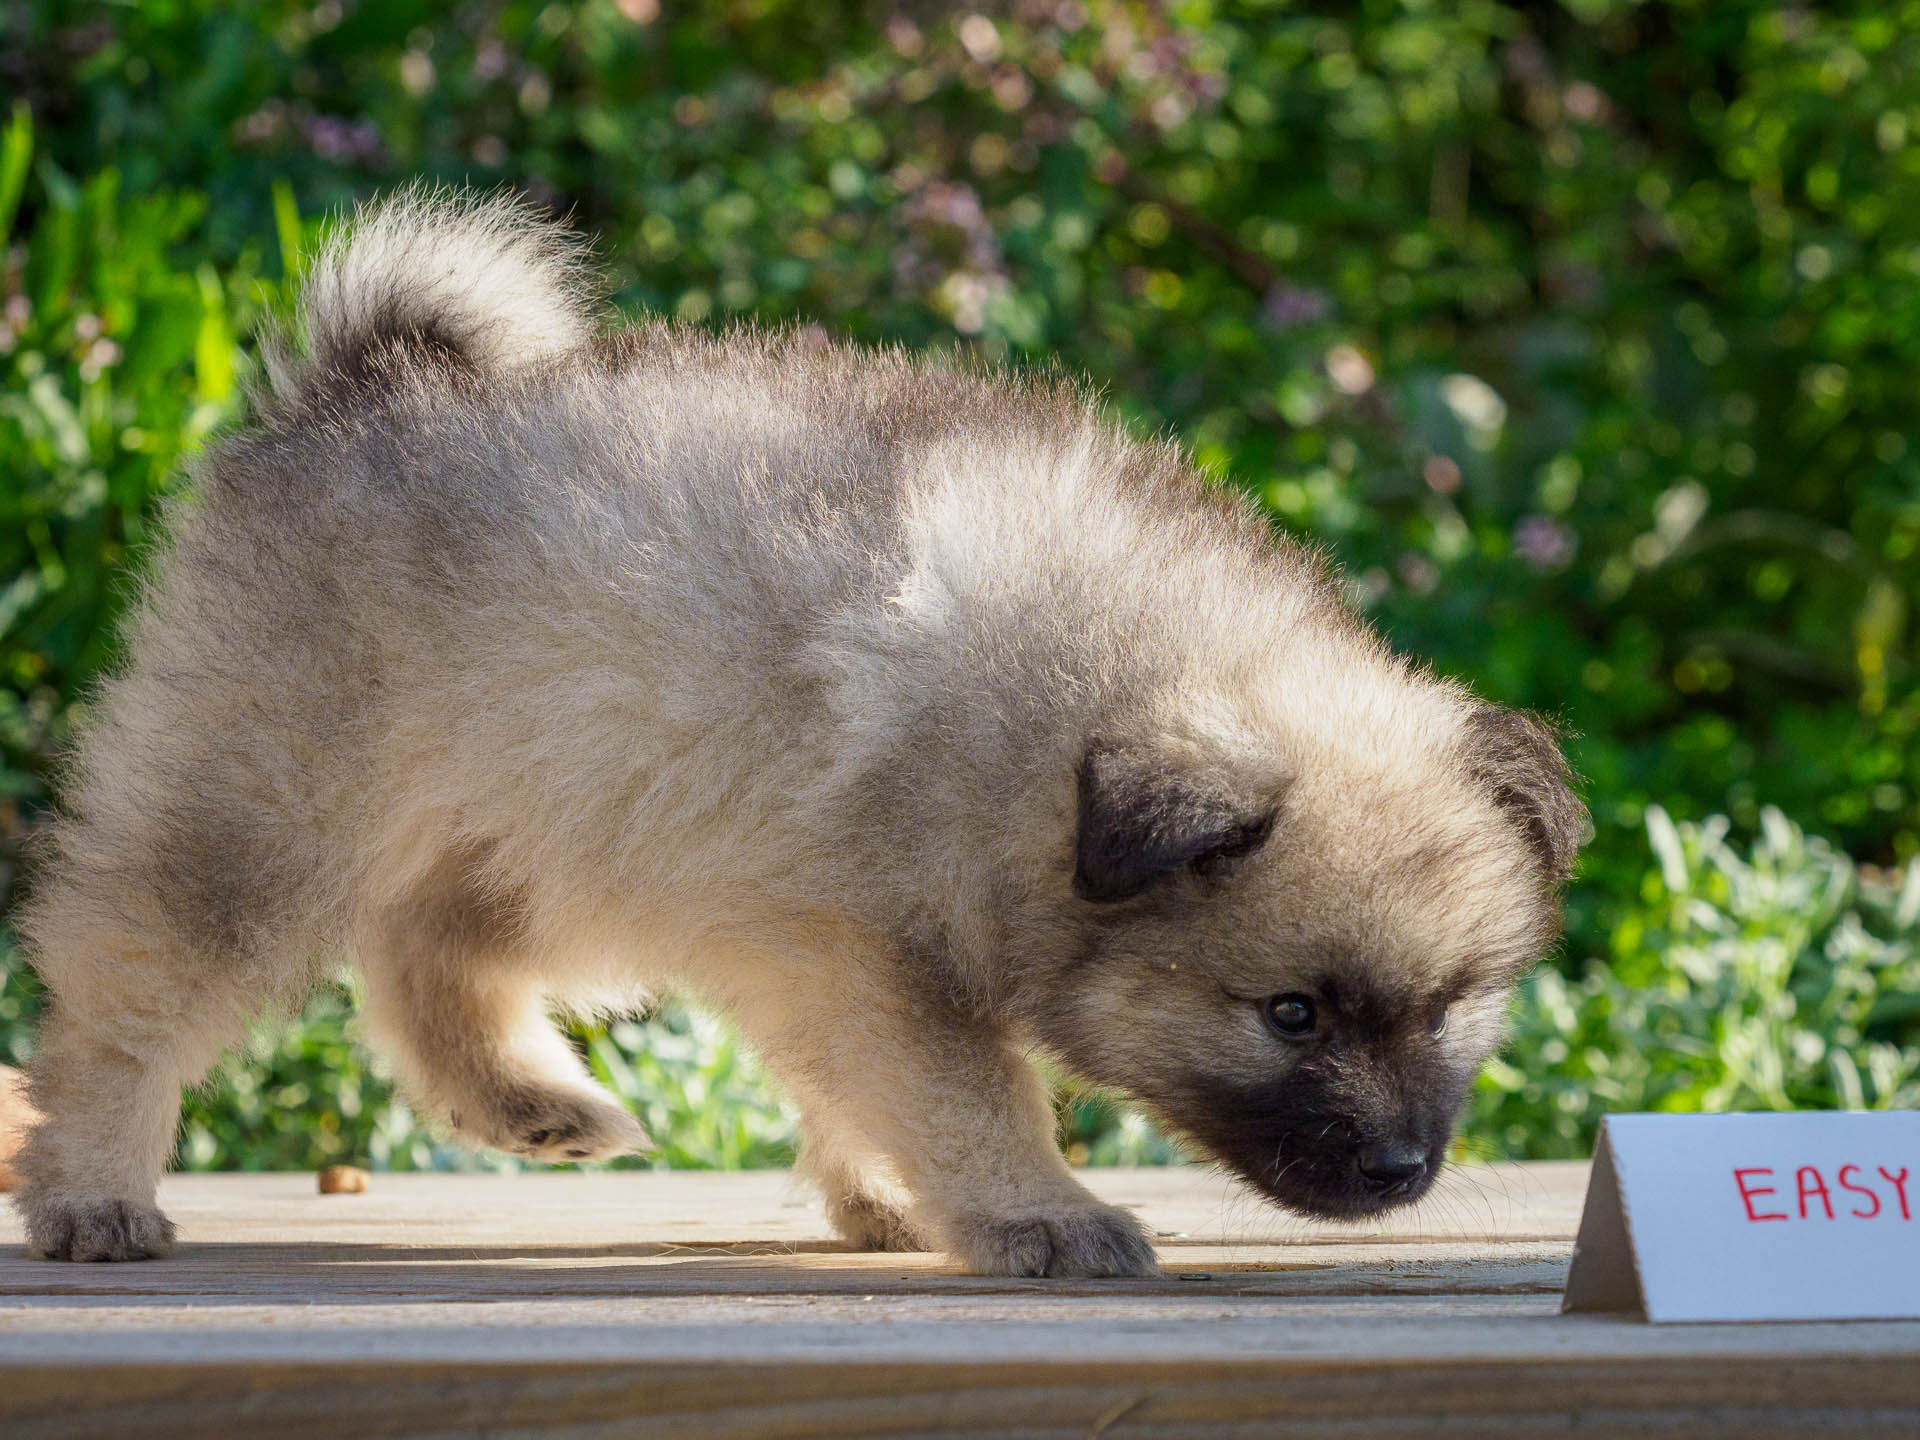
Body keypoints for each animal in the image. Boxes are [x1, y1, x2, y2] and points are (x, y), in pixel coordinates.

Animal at [11, 189, 1574, 1274]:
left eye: (1452, 1004)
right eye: (1292, 1013)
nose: (1403, 1169)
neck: (1049, 718)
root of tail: (355, 390)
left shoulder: (815, 944)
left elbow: (870, 1090)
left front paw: (893, 1196)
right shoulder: (870, 952)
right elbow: (970, 1094)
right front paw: (1036, 1211)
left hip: (556, 809)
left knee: (424, 950)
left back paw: (530, 1102)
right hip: (272, 801)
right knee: (129, 991)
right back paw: (91, 1186)